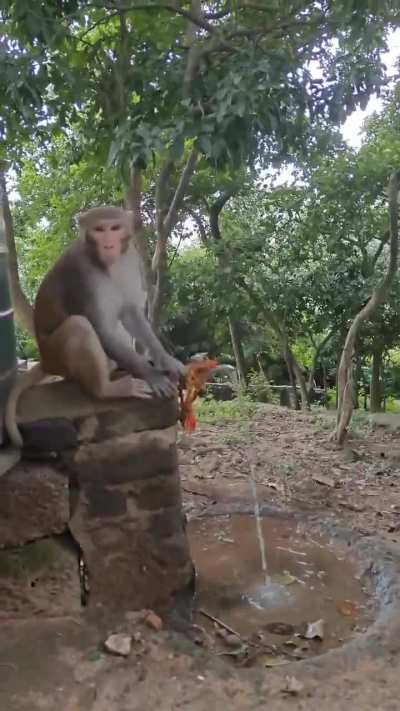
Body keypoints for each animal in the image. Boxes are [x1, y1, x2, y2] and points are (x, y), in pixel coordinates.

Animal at [5, 205, 185, 447]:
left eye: (115, 228)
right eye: (99, 230)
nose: (108, 244)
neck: (107, 263)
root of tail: (45, 360)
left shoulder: (129, 260)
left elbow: (130, 313)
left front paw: (166, 360)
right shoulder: (82, 273)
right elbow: (101, 328)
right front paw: (151, 375)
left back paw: (115, 368)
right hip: (57, 357)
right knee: (79, 325)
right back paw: (107, 389)